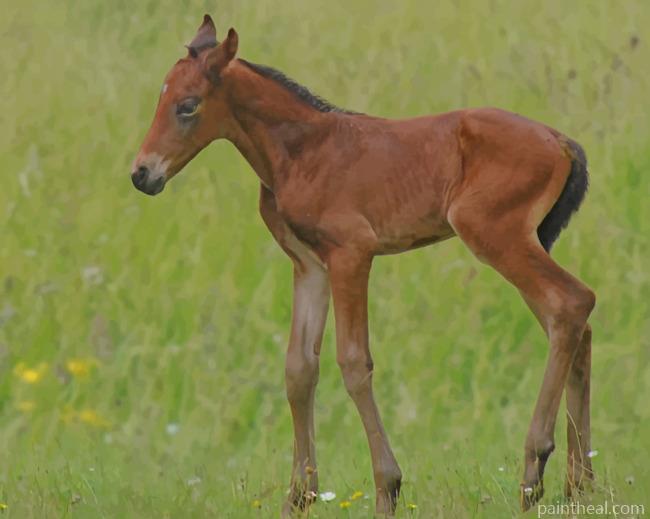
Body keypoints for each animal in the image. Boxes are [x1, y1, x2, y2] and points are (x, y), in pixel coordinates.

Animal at [131, 14, 595, 516]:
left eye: (188, 105)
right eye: (161, 98)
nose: (142, 174)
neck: (301, 150)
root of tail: (562, 143)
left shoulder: (352, 254)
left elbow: (353, 361)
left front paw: (387, 487)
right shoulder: (309, 265)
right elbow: (299, 368)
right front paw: (299, 496)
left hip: (494, 234)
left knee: (572, 302)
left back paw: (535, 466)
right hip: (531, 240)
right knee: (574, 325)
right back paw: (580, 483)